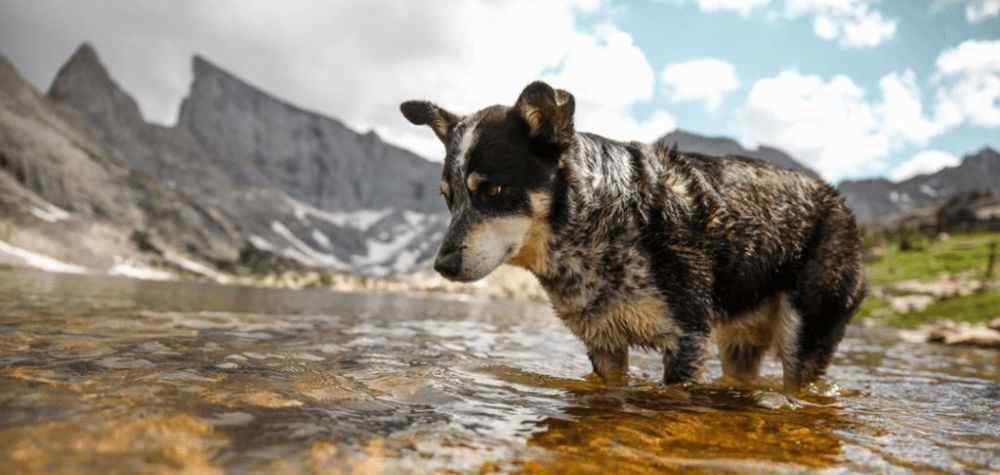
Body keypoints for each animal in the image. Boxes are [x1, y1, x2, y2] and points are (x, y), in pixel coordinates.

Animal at [398, 82, 868, 394]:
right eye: (449, 198)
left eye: (493, 190)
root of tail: (840, 203)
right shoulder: (604, 344)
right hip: (739, 345)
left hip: (804, 334)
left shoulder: (687, 341)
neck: (602, 217)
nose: (442, 265)